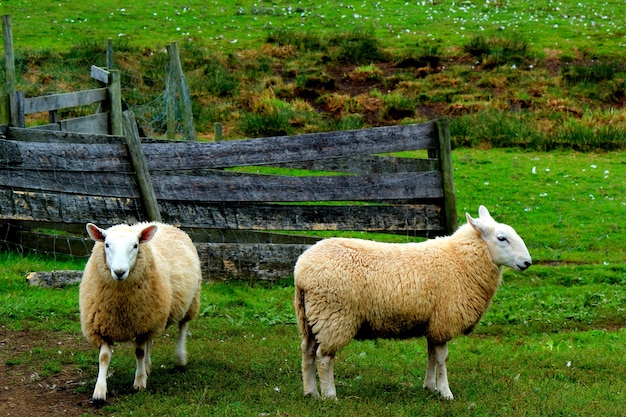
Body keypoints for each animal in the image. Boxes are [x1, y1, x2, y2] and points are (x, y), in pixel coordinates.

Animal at [78, 221, 200, 404]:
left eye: (135, 246)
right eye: (107, 245)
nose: (119, 272)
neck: (120, 302)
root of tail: (160, 223)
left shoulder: (142, 325)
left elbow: (139, 353)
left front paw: (139, 382)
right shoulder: (102, 325)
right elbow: (104, 357)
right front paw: (99, 392)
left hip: (189, 302)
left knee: (182, 328)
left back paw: (180, 359)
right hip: (153, 316)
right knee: (151, 340)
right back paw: (148, 366)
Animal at [292, 205, 532, 400]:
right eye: (502, 238)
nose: (527, 262)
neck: (459, 261)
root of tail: (301, 269)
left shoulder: (433, 323)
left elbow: (431, 355)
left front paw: (430, 387)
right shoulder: (444, 320)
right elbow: (442, 359)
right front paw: (446, 392)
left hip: (310, 317)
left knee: (307, 352)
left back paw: (311, 392)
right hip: (335, 316)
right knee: (324, 357)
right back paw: (330, 396)